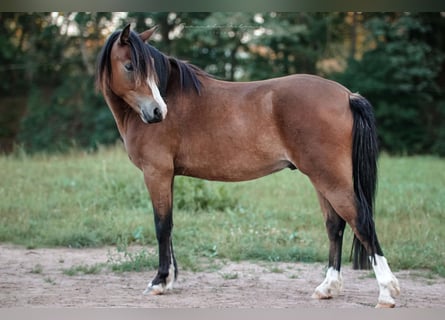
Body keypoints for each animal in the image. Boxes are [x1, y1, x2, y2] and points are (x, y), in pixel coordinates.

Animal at [94, 25, 398, 308]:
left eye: (145, 69)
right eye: (130, 66)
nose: (158, 112)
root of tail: (347, 95)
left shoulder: (156, 173)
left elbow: (161, 226)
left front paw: (158, 282)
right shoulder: (167, 176)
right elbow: (168, 226)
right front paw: (168, 280)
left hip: (330, 179)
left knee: (362, 222)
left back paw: (386, 293)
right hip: (321, 178)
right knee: (335, 226)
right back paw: (327, 288)